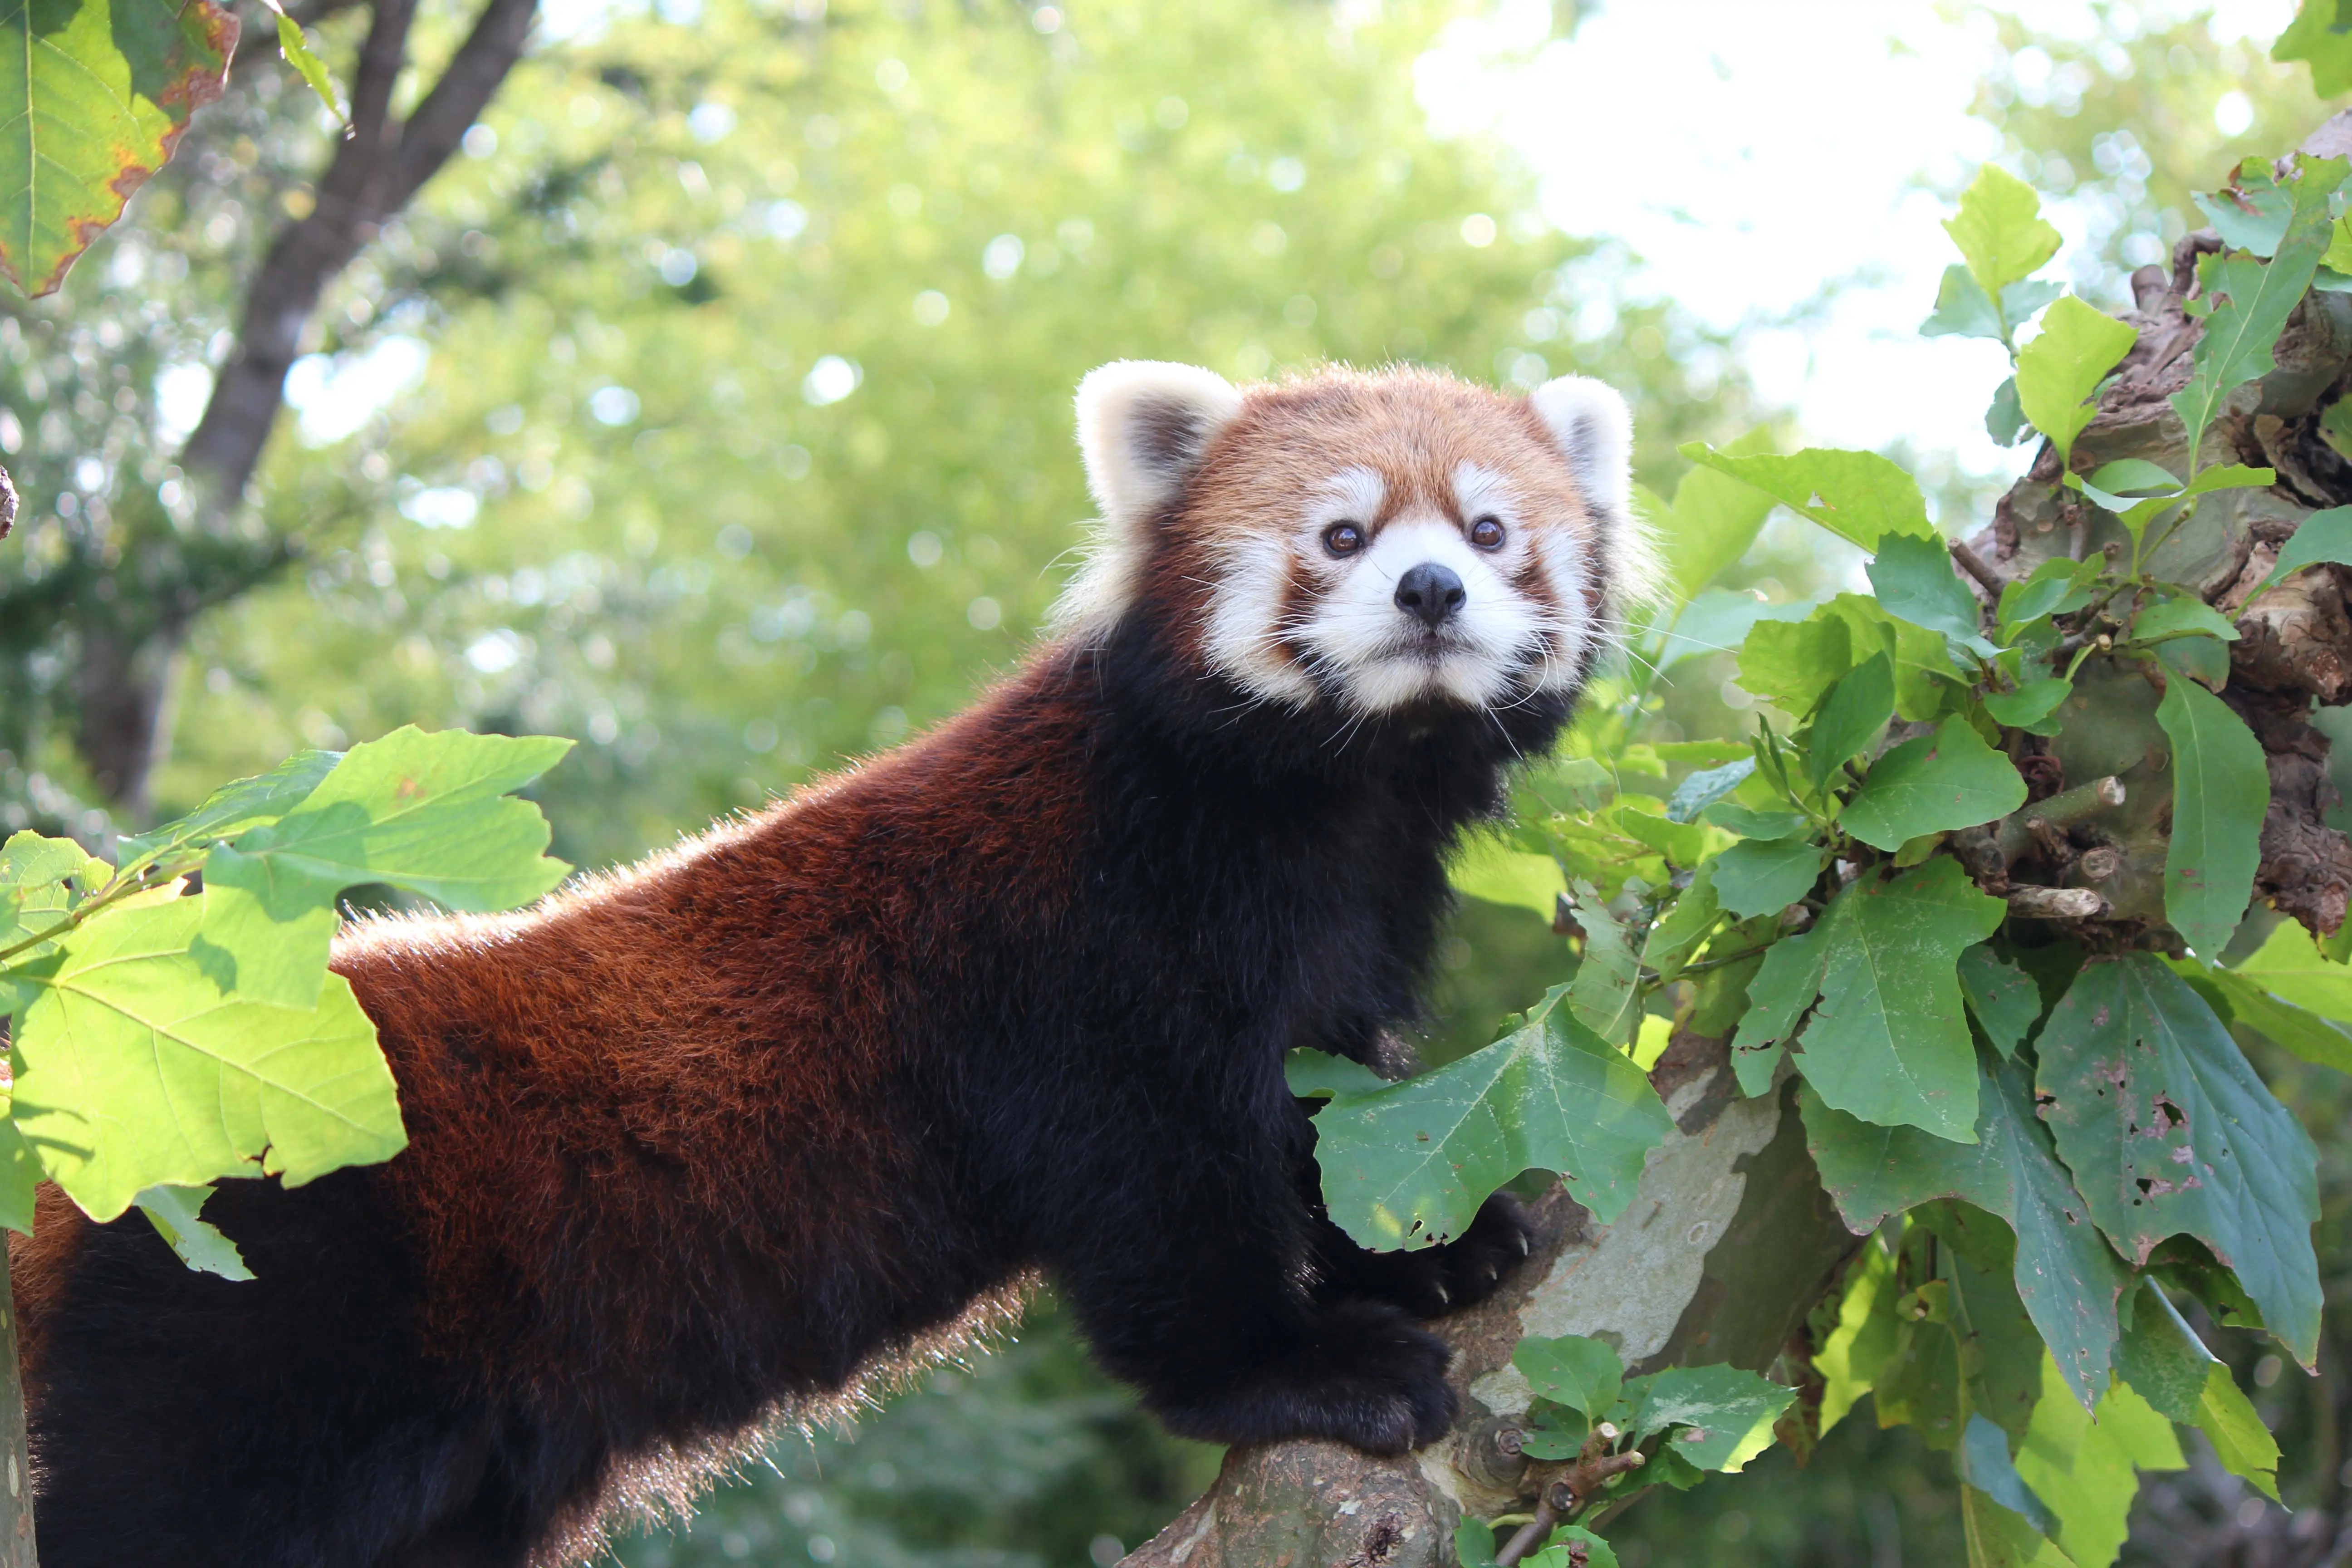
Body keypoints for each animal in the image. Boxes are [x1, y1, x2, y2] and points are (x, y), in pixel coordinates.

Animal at [18, 362, 1646, 1568]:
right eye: (1345, 536)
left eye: (1489, 530)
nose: (1431, 593)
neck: (1327, 798)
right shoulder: (1080, 957)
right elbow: (1163, 1199)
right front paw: (1301, 1362)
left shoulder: (1343, 941)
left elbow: (1337, 1118)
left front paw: (1436, 1247)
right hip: (263, 1290)